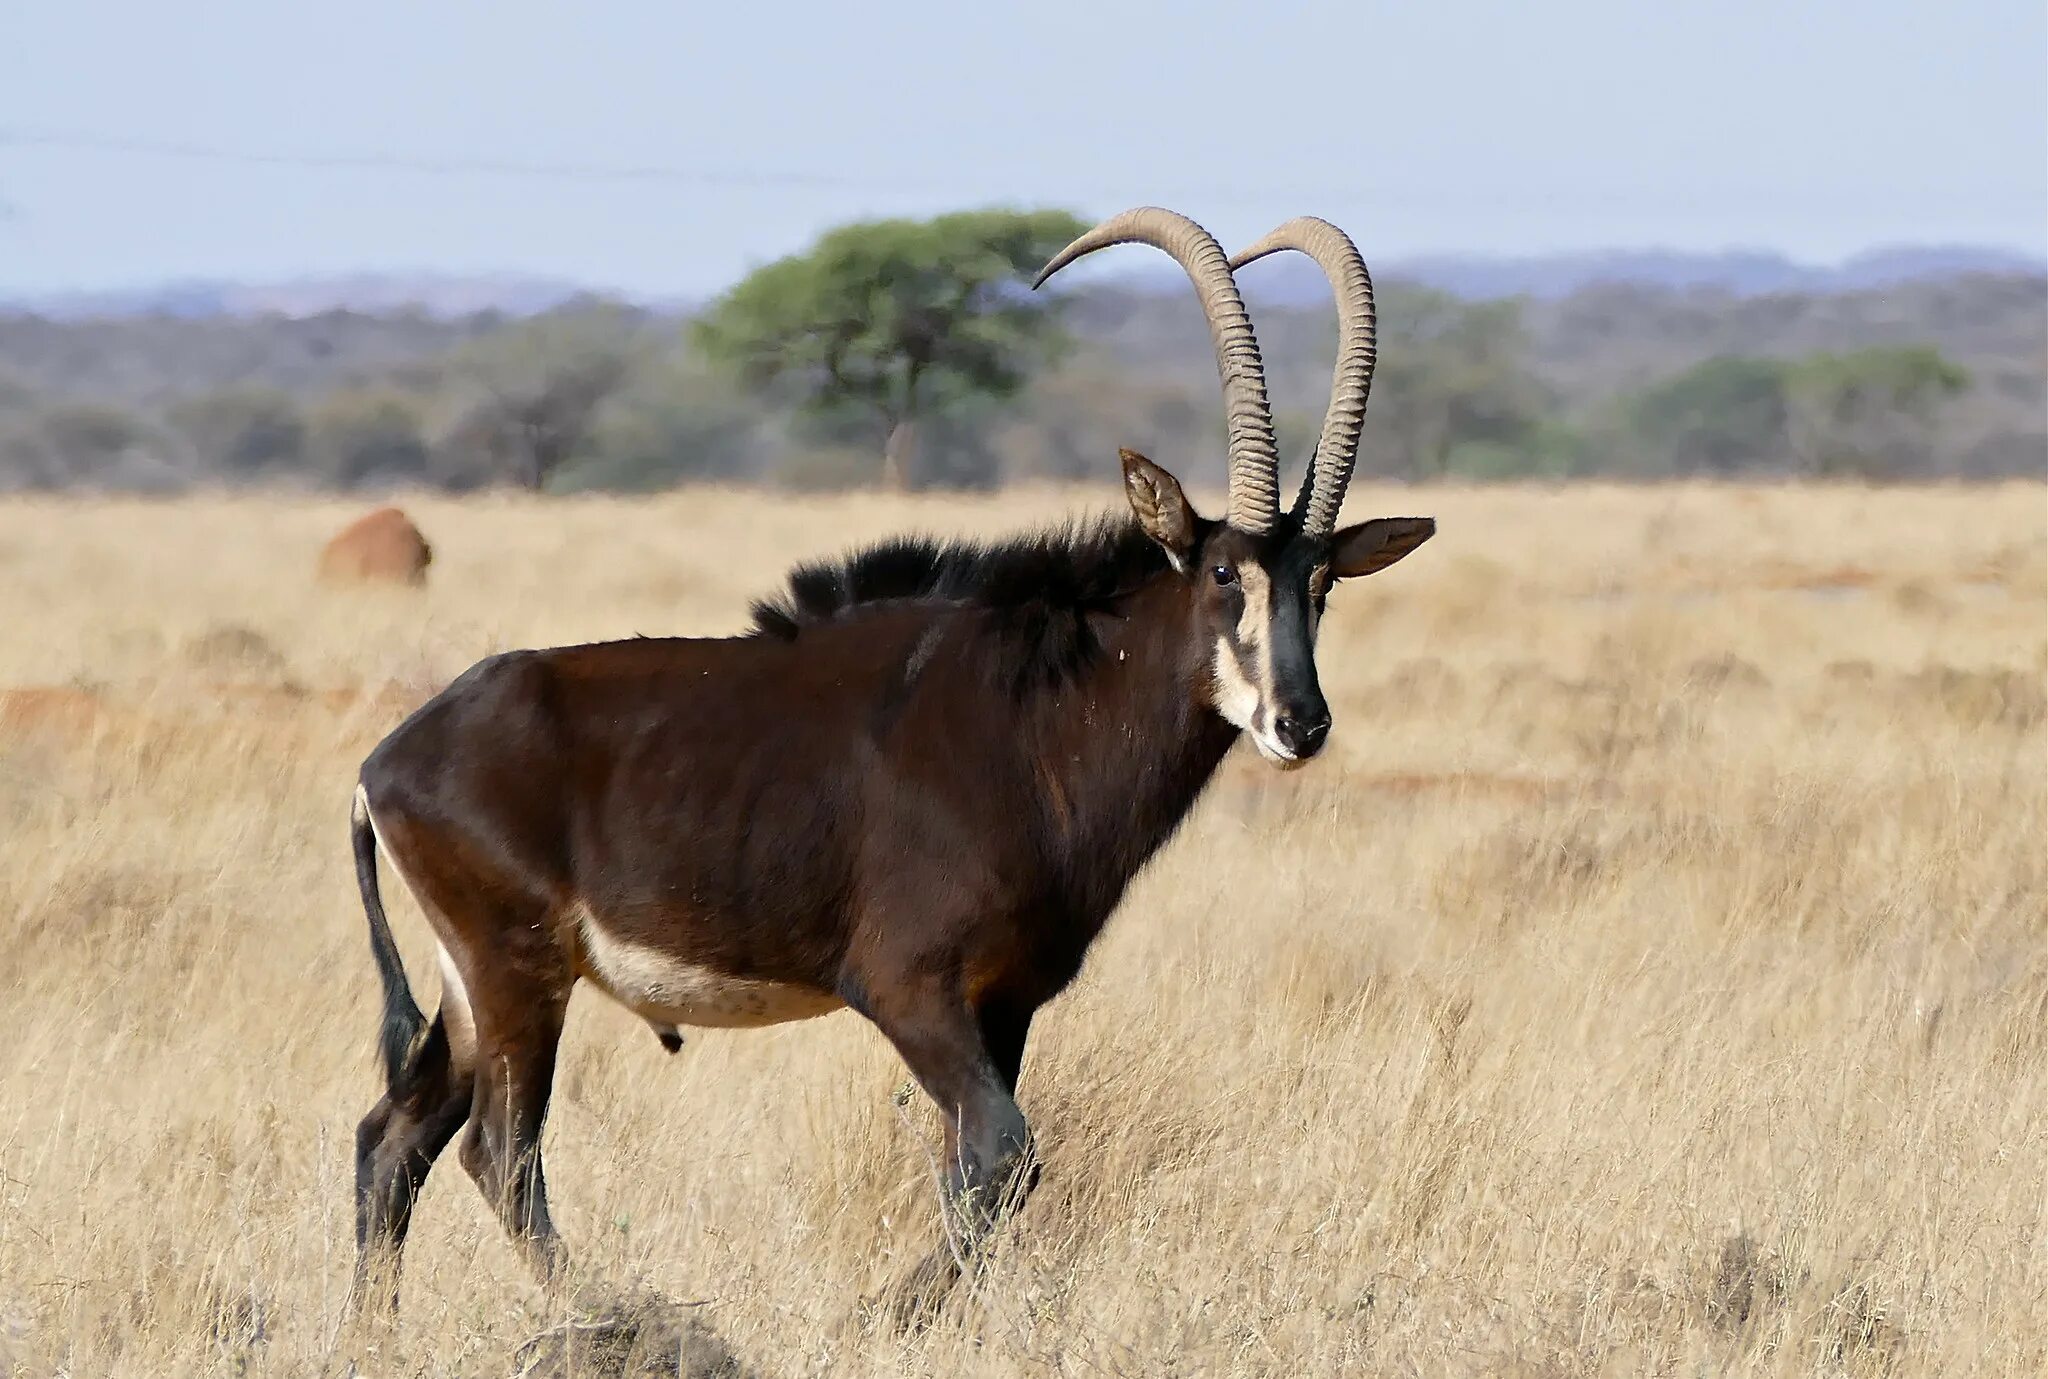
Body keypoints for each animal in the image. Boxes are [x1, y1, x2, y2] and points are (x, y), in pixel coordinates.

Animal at [352, 204, 1433, 1319]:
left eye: (1321, 585)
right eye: (1222, 572)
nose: (1299, 723)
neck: (1032, 712)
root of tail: (390, 757)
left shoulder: (1004, 1000)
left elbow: (973, 1168)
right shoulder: (908, 986)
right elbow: (1003, 1151)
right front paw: (884, 1314)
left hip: (474, 987)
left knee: (395, 1136)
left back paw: (374, 1336)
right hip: (517, 973)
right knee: (497, 1150)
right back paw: (612, 1308)